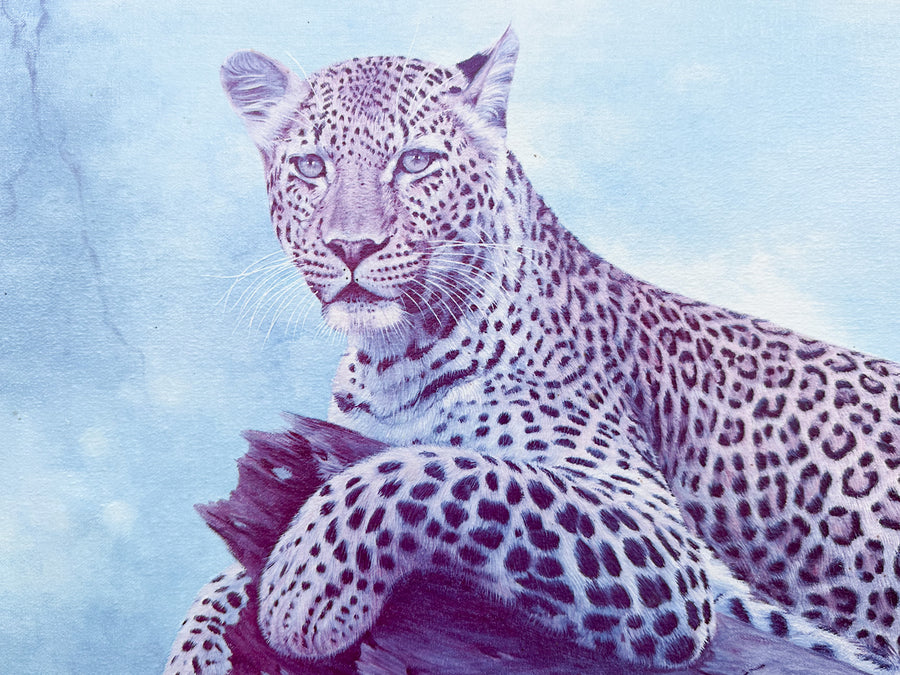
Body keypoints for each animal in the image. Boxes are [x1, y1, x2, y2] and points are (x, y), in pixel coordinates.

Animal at [165, 29, 900, 674]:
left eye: (416, 161)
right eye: (312, 166)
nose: (352, 246)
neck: (391, 358)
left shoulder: (665, 544)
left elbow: (454, 472)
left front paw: (303, 592)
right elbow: (234, 563)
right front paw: (199, 647)